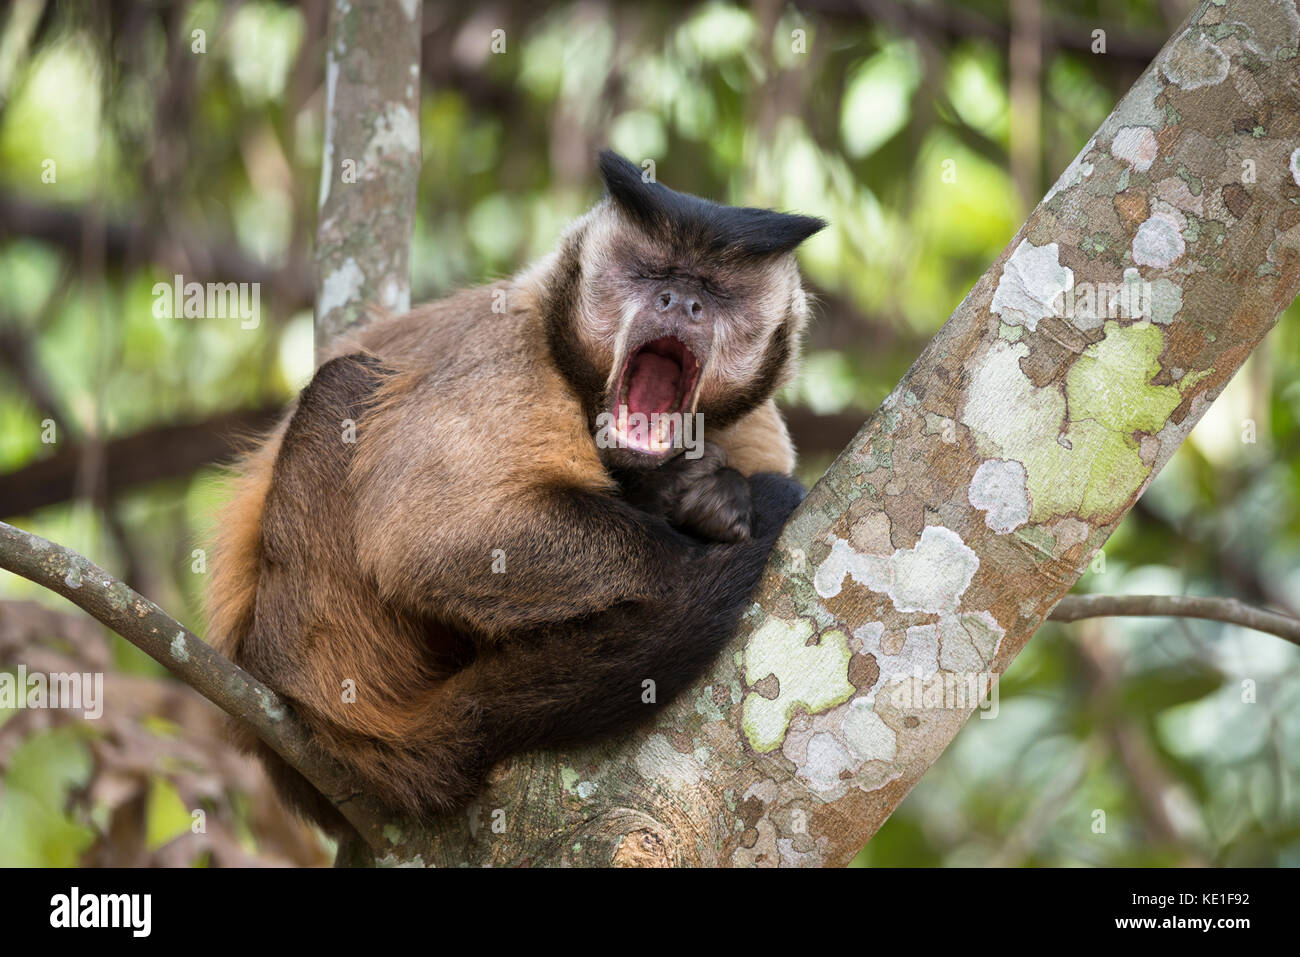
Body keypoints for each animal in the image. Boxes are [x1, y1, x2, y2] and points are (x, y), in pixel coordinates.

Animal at [209, 149, 826, 832]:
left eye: (715, 291)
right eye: (650, 275)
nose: (679, 301)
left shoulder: (755, 423)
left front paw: (707, 497)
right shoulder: (512, 354)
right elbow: (424, 541)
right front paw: (691, 546)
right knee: (342, 388)